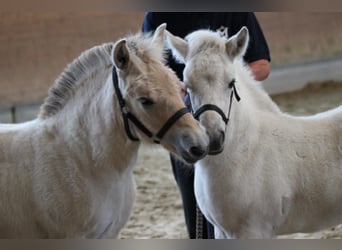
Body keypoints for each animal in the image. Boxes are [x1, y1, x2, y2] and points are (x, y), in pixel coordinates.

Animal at [166, 26, 342, 238]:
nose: (214, 139)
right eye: (188, 85)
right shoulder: (221, 231)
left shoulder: (252, 231)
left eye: (231, 82)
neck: (246, 152)